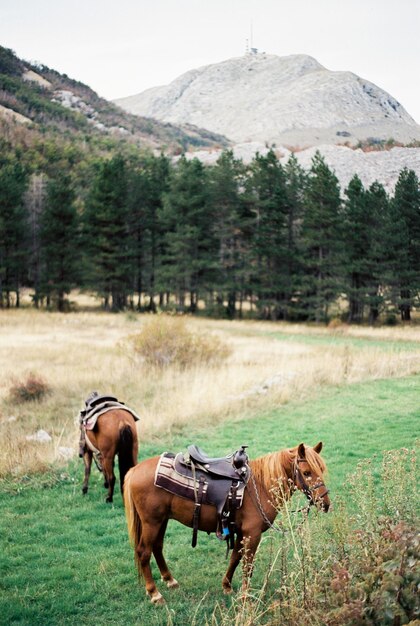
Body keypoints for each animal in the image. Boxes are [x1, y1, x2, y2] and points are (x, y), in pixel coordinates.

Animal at [123, 436, 330, 604]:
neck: (260, 486)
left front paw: (227, 586)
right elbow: (248, 565)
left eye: (321, 469)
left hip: (161, 520)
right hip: (151, 522)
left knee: (157, 547)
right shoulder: (252, 534)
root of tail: (134, 470)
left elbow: (235, 558)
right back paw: (154, 593)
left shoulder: (241, 532)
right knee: (144, 552)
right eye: (306, 473)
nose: (325, 503)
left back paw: (170, 580)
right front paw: (246, 595)